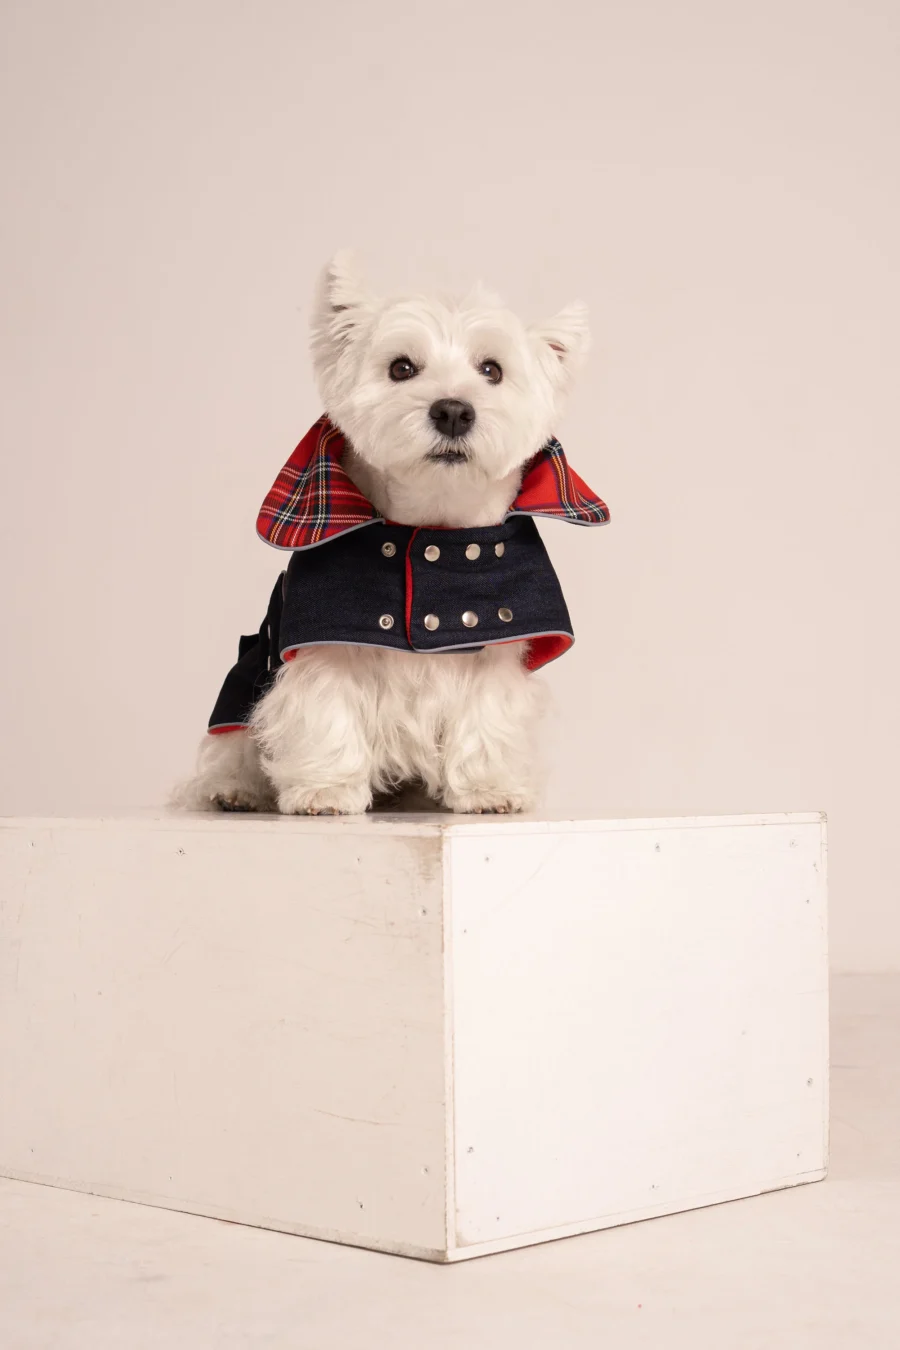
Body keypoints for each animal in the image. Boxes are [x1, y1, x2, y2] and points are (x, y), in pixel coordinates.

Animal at [179, 256, 609, 815]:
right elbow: (326, 709)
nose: (453, 411)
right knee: (232, 743)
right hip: (244, 680)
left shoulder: (498, 644)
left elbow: (487, 716)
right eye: (401, 367)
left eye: (492, 370)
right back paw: (233, 790)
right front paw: (325, 790)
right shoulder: (325, 642)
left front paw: (488, 789)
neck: (432, 524)